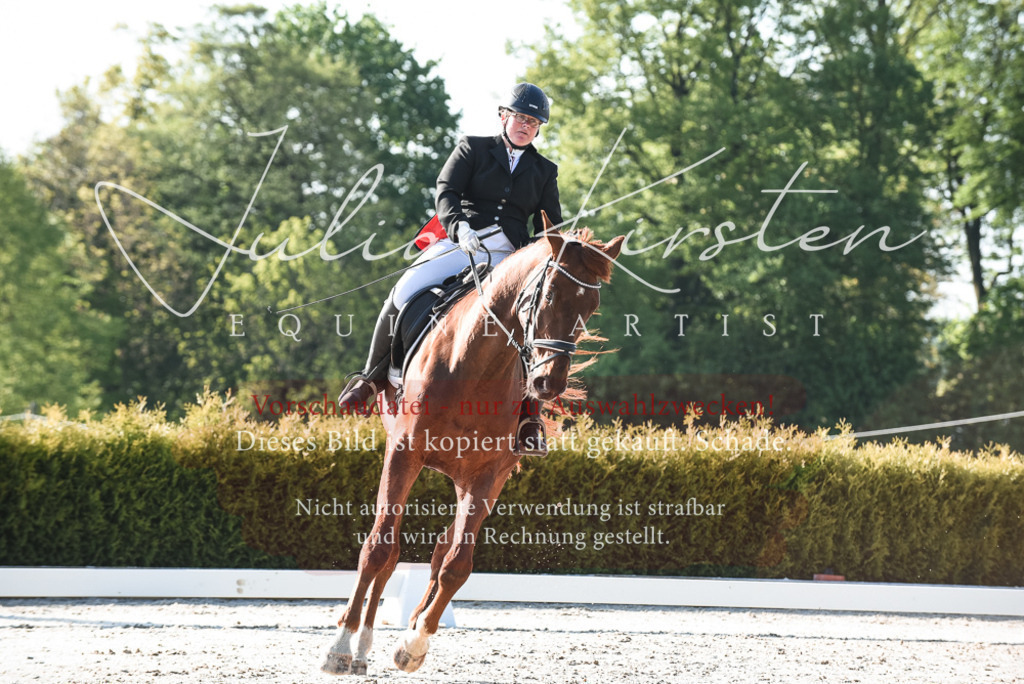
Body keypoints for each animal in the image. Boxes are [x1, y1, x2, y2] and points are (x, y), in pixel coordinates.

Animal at [321, 217, 624, 676]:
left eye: (590, 308)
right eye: (550, 295)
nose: (547, 383)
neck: (478, 364)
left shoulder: (487, 474)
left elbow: (457, 565)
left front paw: (414, 644)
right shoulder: (404, 452)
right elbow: (377, 549)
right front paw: (339, 647)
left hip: (472, 479)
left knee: (440, 551)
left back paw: (401, 631)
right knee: (389, 551)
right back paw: (358, 648)